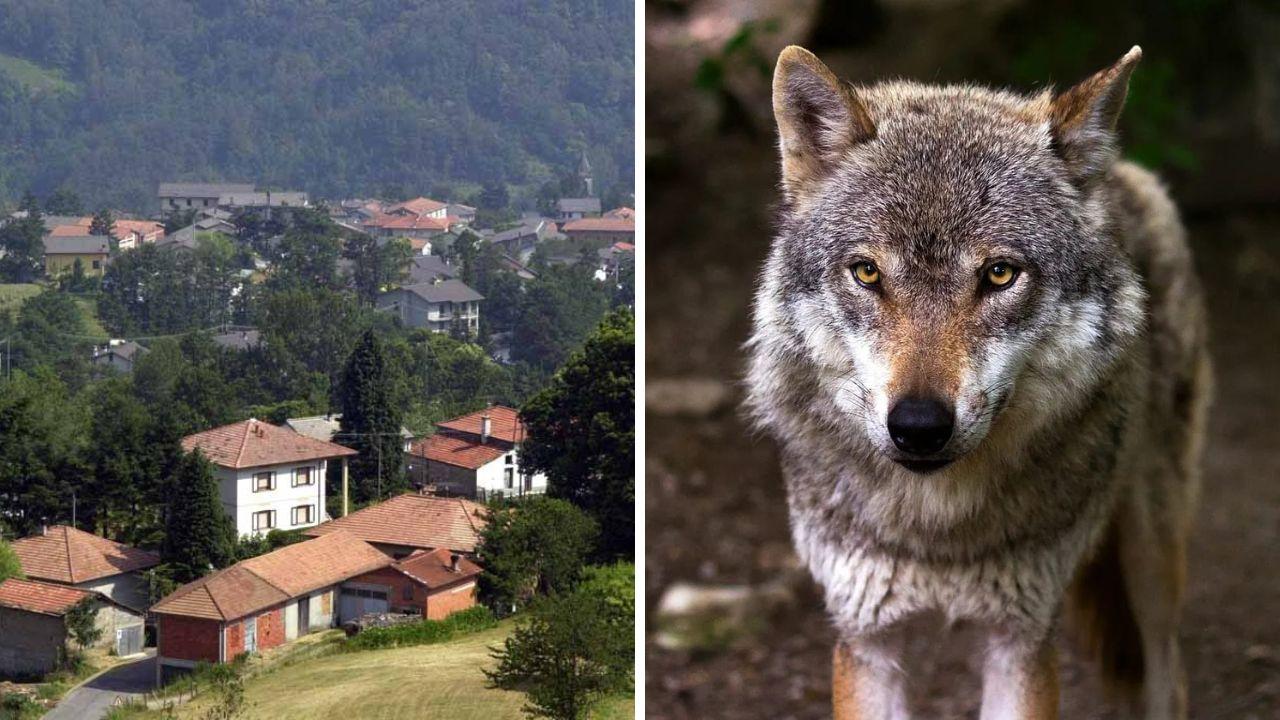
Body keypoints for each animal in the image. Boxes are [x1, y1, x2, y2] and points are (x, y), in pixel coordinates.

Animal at [744, 45, 1210, 720]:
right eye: (867, 272)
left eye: (998, 274)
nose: (919, 426)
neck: (938, 531)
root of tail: (1121, 172)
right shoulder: (866, 639)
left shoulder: (1021, 640)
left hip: (1153, 561)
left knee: (1168, 675)